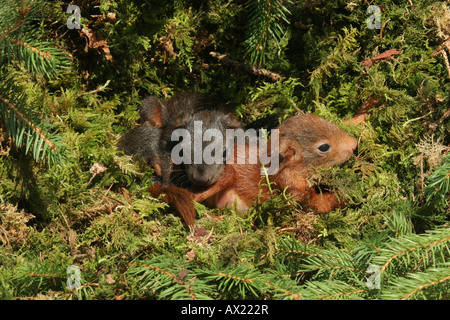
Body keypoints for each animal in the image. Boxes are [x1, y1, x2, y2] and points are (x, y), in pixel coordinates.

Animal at [151, 114, 358, 226]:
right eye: (324, 147)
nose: (354, 144)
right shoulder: (291, 188)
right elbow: (319, 204)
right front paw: (345, 197)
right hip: (224, 177)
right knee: (193, 200)